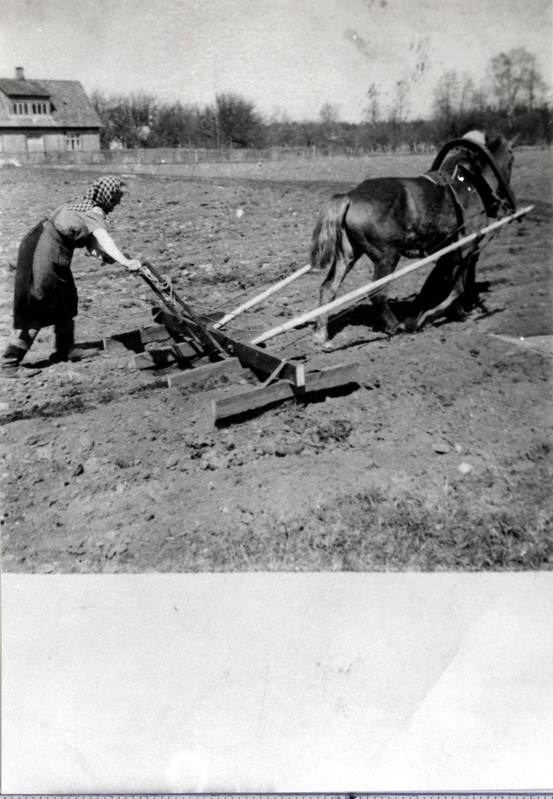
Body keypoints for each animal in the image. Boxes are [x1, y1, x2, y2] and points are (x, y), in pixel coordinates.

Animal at [310, 130, 512, 346]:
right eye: (511, 154)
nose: (504, 200)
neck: (469, 184)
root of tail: (350, 196)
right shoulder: (465, 248)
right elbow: (457, 287)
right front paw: (431, 317)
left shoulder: (450, 253)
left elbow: (442, 283)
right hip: (387, 257)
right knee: (377, 292)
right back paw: (396, 327)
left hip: (348, 254)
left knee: (328, 289)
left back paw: (322, 335)